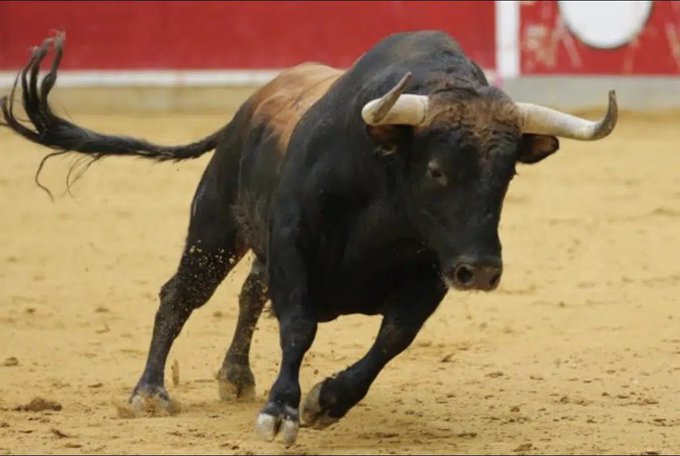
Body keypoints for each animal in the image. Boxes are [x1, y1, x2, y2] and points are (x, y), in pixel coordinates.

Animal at [0, 30, 617, 445]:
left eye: (507, 174)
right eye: (437, 170)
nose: (482, 270)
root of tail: (244, 112)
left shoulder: (431, 273)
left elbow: (392, 339)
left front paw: (328, 401)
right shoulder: (295, 245)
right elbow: (298, 326)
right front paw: (281, 411)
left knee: (249, 293)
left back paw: (235, 376)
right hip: (214, 228)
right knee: (181, 295)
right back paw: (150, 393)